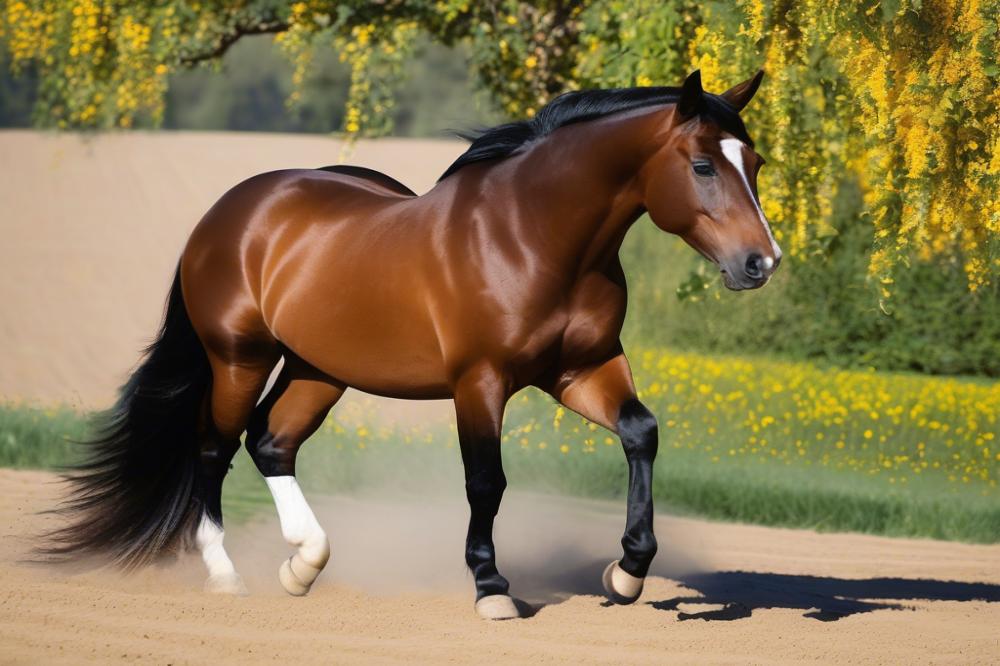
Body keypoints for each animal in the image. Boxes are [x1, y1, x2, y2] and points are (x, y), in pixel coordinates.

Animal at [45, 69, 780, 620]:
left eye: (757, 162)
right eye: (703, 165)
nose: (761, 263)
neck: (532, 235)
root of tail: (229, 212)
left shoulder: (584, 369)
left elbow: (641, 433)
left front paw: (627, 571)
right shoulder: (478, 382)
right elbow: (486, 481)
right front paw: (491, 589)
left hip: (318, 369)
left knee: (271, 442)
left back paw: (303, 564)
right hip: (238, 358)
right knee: (213, 449)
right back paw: (228, 576)